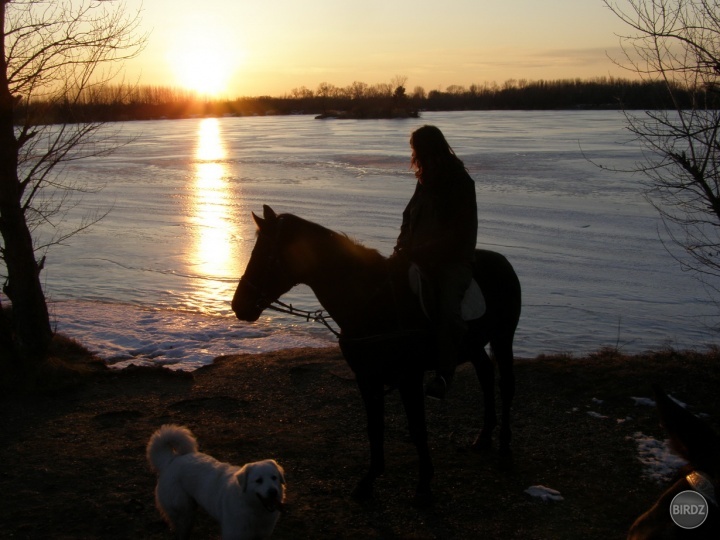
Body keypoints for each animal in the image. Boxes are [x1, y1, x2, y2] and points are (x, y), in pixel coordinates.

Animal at [146, 424, 284, 536]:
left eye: (274, 478)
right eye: (258, 480)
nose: (273, 492)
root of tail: (172, 460)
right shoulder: (234, 533)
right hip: (182, 511)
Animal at [233, 206, 520, 502]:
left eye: (266, 255)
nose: (238, 305)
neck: (371, 302)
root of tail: (503, 262)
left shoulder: (409, 377)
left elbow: (417, 427)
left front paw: (424, 485)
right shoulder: (367, 377)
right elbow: (375, 427)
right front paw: (369, 480)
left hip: (503, 336)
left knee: (506, 384)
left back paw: (504, 441)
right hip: (474, 345)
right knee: (486, 375)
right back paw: (484, 437)